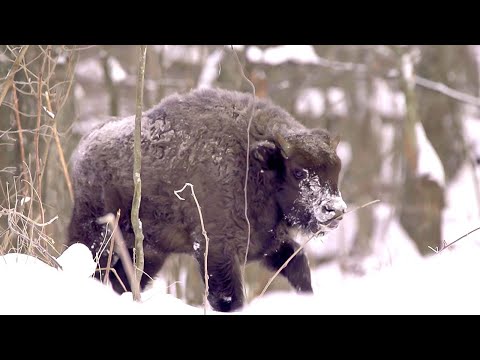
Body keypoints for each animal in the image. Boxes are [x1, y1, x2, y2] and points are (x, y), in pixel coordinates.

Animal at [67, 88, 346, 312]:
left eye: (336, 170)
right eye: (298, 172)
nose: (335, 210)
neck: (253, 168)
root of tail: (83, 150)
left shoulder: (267, 245)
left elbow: (299, 267)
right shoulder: (217, 251)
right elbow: (229, 299)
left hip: (151, 253)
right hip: (97, 234)